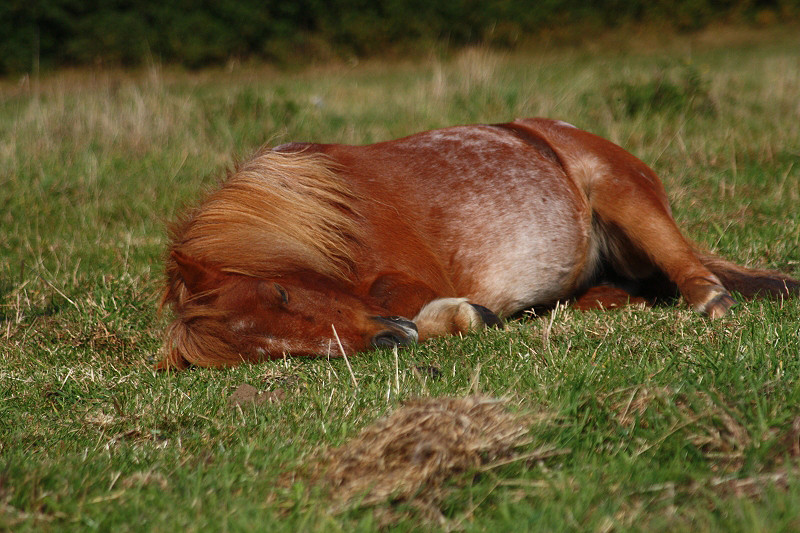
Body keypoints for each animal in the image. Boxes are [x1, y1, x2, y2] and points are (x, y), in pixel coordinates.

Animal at [158, 119, 800, 370]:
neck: (335, 219)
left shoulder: (408, 281)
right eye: (276, 355)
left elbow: (411, 302)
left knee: (686, 266)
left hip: (625, 196)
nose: (385, 340)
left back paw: (710, 300)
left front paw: (462, 316)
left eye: (282, 294)